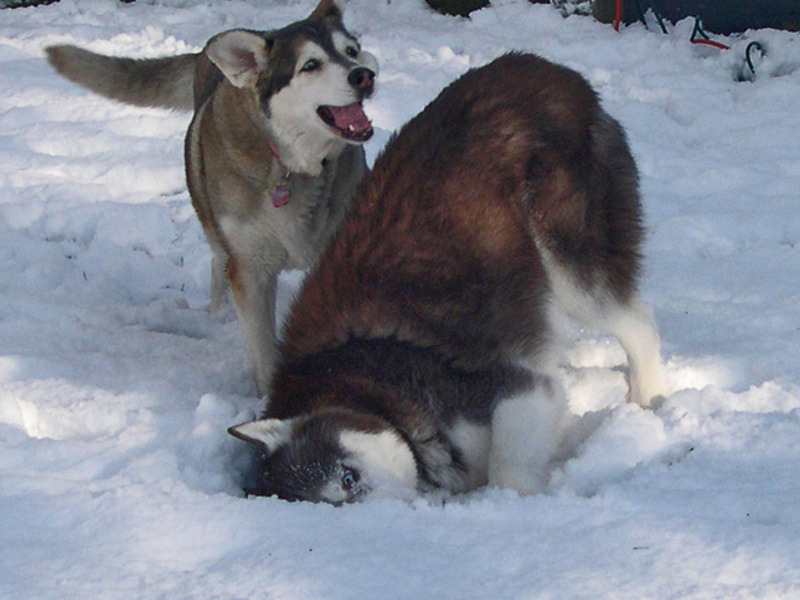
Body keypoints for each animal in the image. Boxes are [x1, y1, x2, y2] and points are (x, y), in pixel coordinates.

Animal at [47, 0, 378, 396]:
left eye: (351, 51)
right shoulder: (250, 268)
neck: (292, 166)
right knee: (218, 263)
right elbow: (263, 349)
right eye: (310, 65)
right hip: (213, 219)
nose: (364, 76)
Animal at [230, 51, 668, 504]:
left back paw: (650, 396)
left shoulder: (515, 384)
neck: (362, 389)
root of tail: (546, 69)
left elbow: (506, 469)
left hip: (568, 257)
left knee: (638, 321)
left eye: (348, 476)